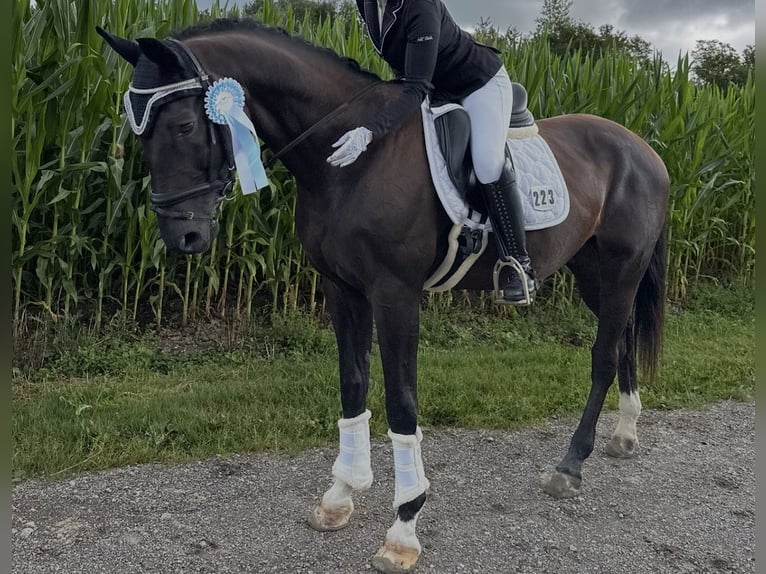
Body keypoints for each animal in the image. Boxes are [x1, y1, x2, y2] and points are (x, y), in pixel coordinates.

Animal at [97, 19, 669, 574]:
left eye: (184, 125)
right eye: (137, 132)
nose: (184, 236)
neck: (350, 165)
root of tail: (643, 148)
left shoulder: (395, 294)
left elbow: (400, 401)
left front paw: (404, 528)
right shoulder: (342, 288)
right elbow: (353, 384)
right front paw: (339, 497)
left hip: (621, 269)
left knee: (602, 356)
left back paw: (570, 466)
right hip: (593, 273)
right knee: (621, 345)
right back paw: (624, 435)